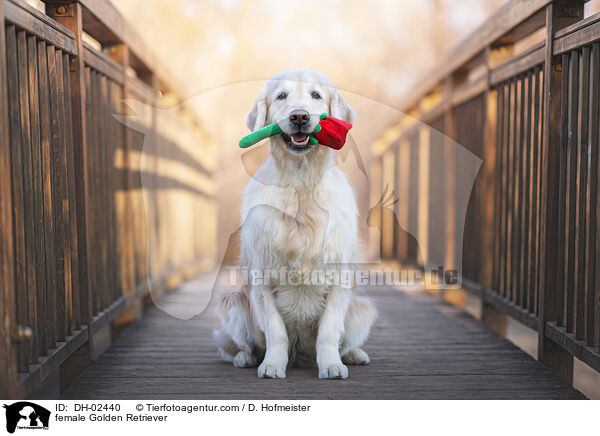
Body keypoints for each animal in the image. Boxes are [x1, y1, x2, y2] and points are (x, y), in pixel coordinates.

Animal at [214, 68, 376, 378]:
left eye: (316, 95)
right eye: (281, 96)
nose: (299, 116)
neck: (301, 187)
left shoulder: (339, 277)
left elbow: (329, 332)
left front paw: (331, 365)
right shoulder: (262, 277)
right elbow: (275, 331)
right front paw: (272, 366)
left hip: (361, 310)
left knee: (347, 339)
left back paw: (353, 355)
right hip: (232, 305)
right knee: (238, 346)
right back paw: (245, 358)